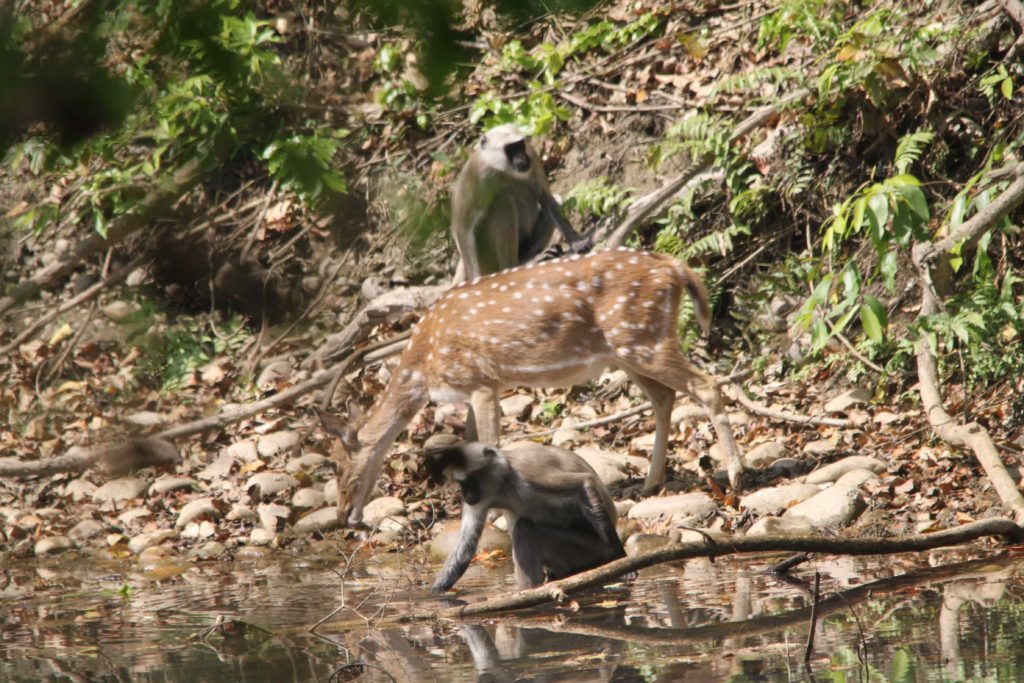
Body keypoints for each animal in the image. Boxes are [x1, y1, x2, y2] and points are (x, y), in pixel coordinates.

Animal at [321, 248, 745, 528]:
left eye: (337, 464)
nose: (343, 516)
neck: (424, 368)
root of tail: (675, 266)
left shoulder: (481, 379)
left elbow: (490, 442)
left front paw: (496, 515)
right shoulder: (475, 390)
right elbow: (473, 440)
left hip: (641, 339)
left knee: (706, 385)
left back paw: (736, 473)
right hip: (627, 349)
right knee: (664, 396)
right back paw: (650, 482)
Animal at [423, 440, 622, 589]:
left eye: (469, 482)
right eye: (461, 484)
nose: (464, 496)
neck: (503, 486)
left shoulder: (526, 474)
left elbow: (583, 483)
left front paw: (618, 556)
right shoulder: (481, 499)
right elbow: (466, 547)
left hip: (589, 548)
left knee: (524, 528)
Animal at [450, 124, 589, 282]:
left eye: (520, 145)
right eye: (511, 149)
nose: (522, 157)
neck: (502, 169)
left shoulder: (532, 154)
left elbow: (545, 197)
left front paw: (576, 241)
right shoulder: (476, 173)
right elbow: (462, 228)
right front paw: (476, 280)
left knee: (556, 200)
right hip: (486, 260)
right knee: (504, 200)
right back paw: (514, 268)